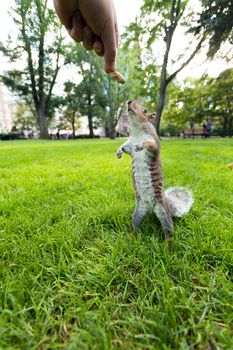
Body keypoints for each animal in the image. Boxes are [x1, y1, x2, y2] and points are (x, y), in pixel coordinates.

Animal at [116, 100, 193, 239]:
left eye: (145, 110)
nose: (129, 102)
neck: (137, 131)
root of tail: (151, 208)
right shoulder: (129, 145)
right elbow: (124, 146)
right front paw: (118, 151)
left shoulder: (153, 142)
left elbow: (151, 145)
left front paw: (142, 145)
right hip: (138, 213)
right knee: (135, 225)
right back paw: (131, 237)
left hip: (164, 214)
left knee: (168, 230)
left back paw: (169, 243)